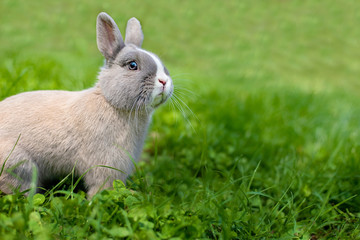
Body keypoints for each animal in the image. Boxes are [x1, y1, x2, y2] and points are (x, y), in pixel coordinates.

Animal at [0, 12, 173, 198]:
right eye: (132, 65)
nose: (164, 81)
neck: (110, 103)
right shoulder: (106, 165)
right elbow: (103, 187)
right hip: (20, 164)